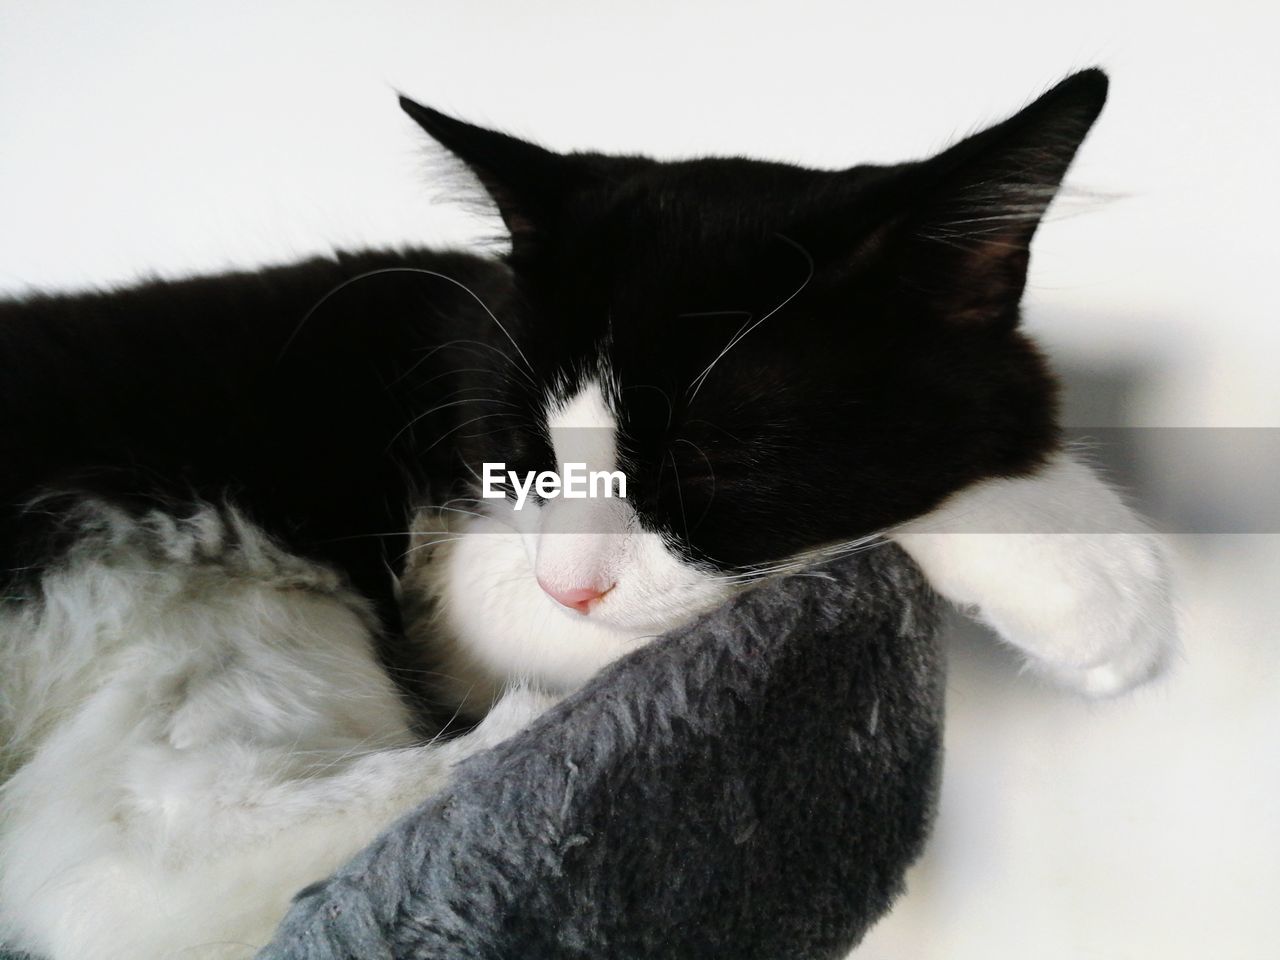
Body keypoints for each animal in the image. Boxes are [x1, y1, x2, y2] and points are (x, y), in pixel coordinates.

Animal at [0, 69, 1172, 960]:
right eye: (525, 455)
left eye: (714, 457)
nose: (571, 587)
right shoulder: (462, 583)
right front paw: (1085, 572)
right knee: (131, 855)